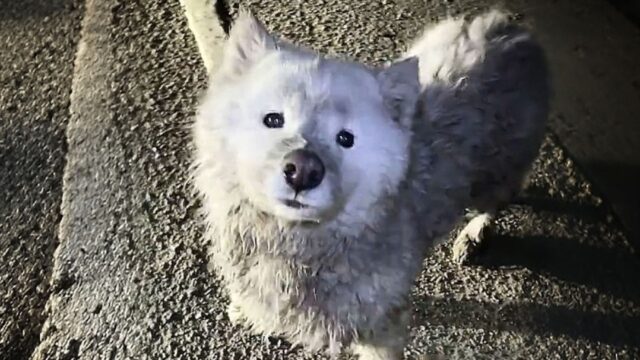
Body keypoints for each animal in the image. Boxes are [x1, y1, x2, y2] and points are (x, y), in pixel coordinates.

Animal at [191, 9, 552, 360]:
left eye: (346, 138)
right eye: (273, 119)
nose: (303, 171)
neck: (295, 243)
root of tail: (510, 29)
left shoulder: (382, 324)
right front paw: (246, 312)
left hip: (496, 174)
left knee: (499, 200)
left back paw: (474, 235)